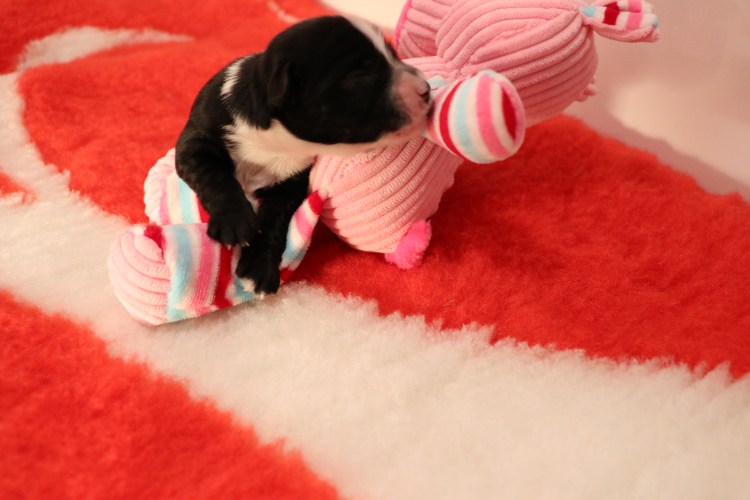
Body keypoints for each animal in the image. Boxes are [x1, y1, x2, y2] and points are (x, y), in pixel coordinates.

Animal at [175, 15, 432, 295]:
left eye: (394, 55)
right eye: (360, 75)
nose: (426, 89)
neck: (277, 139)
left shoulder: (290, 182)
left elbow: (273, 223)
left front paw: (259, 269)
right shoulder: (196, 139)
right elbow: (214, 175)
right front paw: (235, 221)